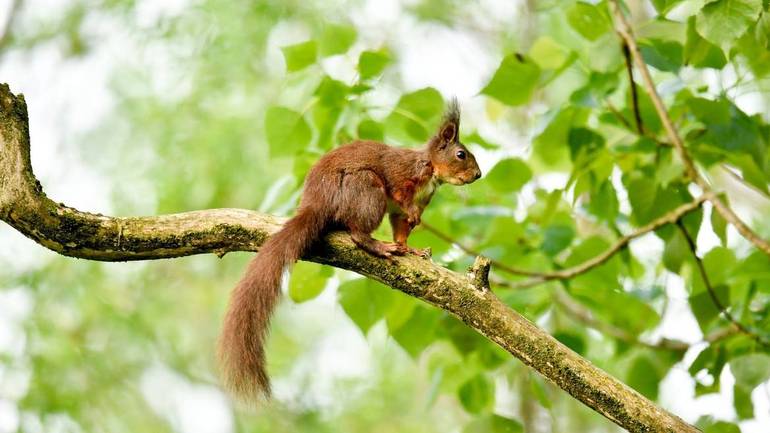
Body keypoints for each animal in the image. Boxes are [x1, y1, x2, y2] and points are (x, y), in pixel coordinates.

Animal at [218, 100, 480, 398]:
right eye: (461, 154)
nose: (478, 174)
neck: (432, 173)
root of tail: (317, 201)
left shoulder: (401, 212)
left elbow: (401, 228)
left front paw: (410, 248)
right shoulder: (402, 176)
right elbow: (401, 195)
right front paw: (411, 220)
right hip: (366, 189)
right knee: (357, 232)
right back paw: (377, 245)